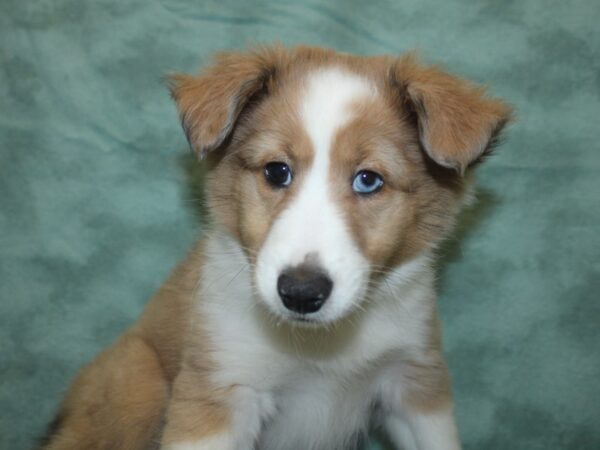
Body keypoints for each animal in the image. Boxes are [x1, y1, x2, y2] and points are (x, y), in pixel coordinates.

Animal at [41, 45, 510, 450]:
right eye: (276, 171)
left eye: (368, 180)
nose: (301, 293)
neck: (321, 345)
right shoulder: (220, 392)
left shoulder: (414, 384)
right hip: (138, 386)